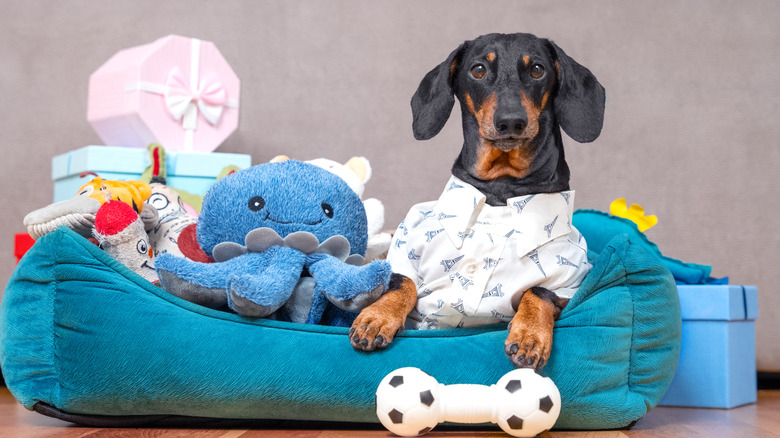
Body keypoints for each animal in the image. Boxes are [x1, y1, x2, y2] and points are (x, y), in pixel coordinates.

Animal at [350, 33, 608, 370]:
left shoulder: (571, 278)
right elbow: (402, 282)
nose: (511, 122)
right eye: (478, 69)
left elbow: (539, 291)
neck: (501, 189)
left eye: (537, 69)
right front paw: (377, 317)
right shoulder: (405, 253)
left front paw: (529, 334)